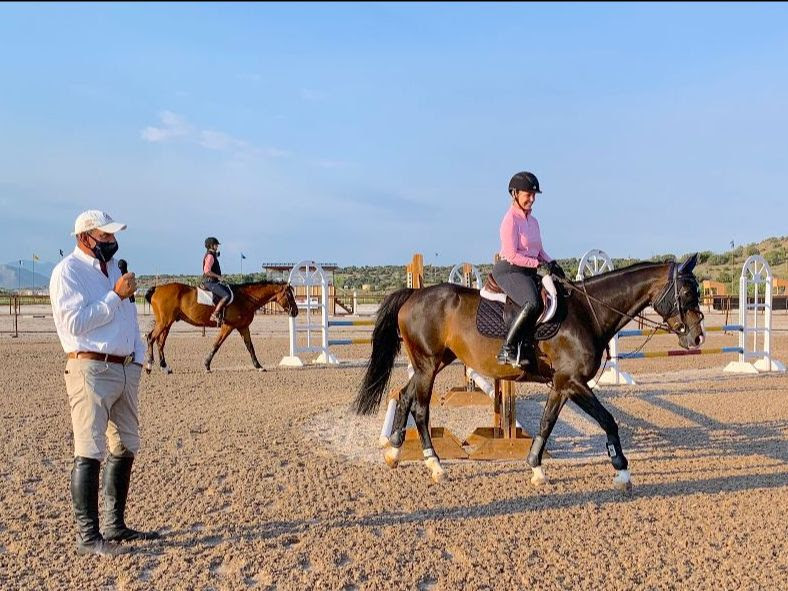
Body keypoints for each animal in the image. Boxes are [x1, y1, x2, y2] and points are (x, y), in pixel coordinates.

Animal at [145, 282, 298, 374]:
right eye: (289, 295)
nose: (295, 311)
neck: (245, 299)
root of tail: (157, 288)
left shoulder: (243, 327)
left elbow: (250, 347)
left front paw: (259, 366)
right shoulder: (228, 326)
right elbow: (217, 344)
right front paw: (207, 365)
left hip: (167, 323)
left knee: (160, 342)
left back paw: (165, 367)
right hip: (164, 322)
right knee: (151, 338)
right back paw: (149, 366)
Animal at [354, 254, 704, 490]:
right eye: (687, 294)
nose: (697, 338)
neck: (589, 311)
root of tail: (414, 294)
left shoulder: (562, 384)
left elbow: (548, 422)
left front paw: (536, 467)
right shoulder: (572, 380)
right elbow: (607, 419)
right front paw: (622, 471)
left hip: (433, 363)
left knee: (404, 396)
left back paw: (395, 452)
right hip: (428, 365)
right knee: (421, 409)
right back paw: (435, 464)